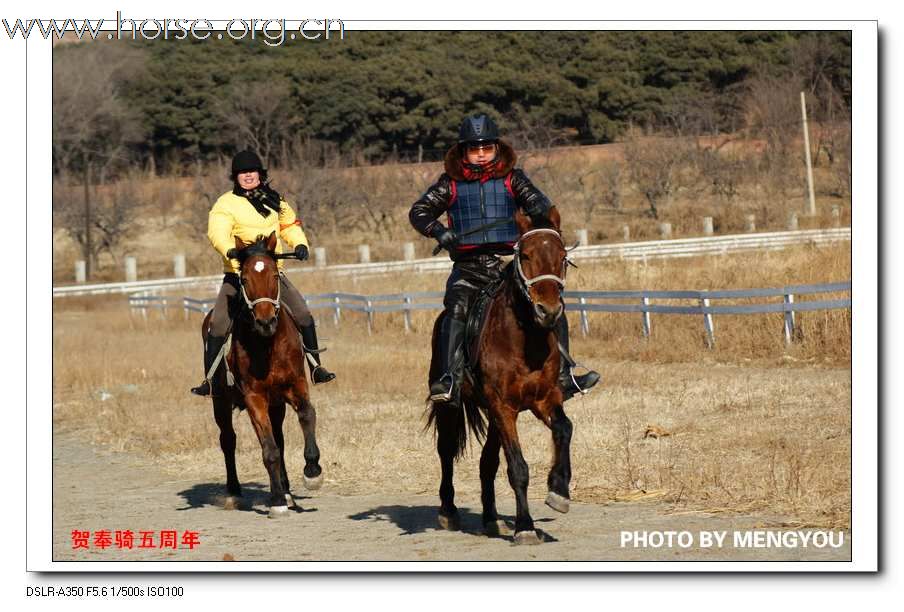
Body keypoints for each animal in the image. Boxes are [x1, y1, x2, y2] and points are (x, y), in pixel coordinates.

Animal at [201, 232, 324, 520]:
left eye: (275, 276)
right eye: (244, 279)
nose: (266, 322)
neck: (267, 344)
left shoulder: (296, 385)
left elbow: (307, 416)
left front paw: (312, 472)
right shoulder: (254, 398)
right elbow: (268, 450)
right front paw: (277, 500)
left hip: (276, 404)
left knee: (279, 438)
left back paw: (288, 491)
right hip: (221, 402)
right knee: (228, 440)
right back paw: (236, 492)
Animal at [430, 207, 572, 544]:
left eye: (562, 256)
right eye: (527, 255)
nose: (548, 311)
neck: (525, 339)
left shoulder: (545, 400)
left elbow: (564, 429)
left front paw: (559, 490)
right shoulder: (504, 406)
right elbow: (517, 467)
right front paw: (525, 527)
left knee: (487, 462)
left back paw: (491, 518)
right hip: (452, 407)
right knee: (446, 452)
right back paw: (448, 512)